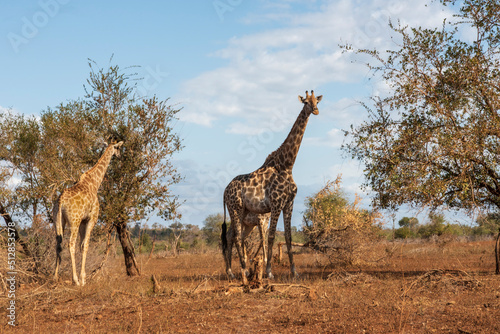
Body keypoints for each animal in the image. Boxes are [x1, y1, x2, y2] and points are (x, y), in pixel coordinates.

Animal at [53, 140, 123, 284]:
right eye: (118, 148)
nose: (120, 156)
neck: (95, 183)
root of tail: (61, 200)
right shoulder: (92, 218)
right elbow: (85, 245)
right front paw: (83, 279)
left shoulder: (83, 221)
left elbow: (81, 245)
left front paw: (82, 277)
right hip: (73, 221)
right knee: (70, 243)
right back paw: (75, 280)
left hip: (58, 219)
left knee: (58, 243)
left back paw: (55, 277)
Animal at [222, 89, 322, 282]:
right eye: (305, 102)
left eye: (317, 101)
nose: (315, 111)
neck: (287, 165)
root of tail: (224, 191)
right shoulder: (275, 204)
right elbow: (271, 237)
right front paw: (269, 272)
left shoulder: (289, 203)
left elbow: (289, 237)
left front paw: (294, 272)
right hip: (235, 208)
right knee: (236, 236)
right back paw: (242, 270)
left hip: (242, 212)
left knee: (231, 236)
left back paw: (232, 272)